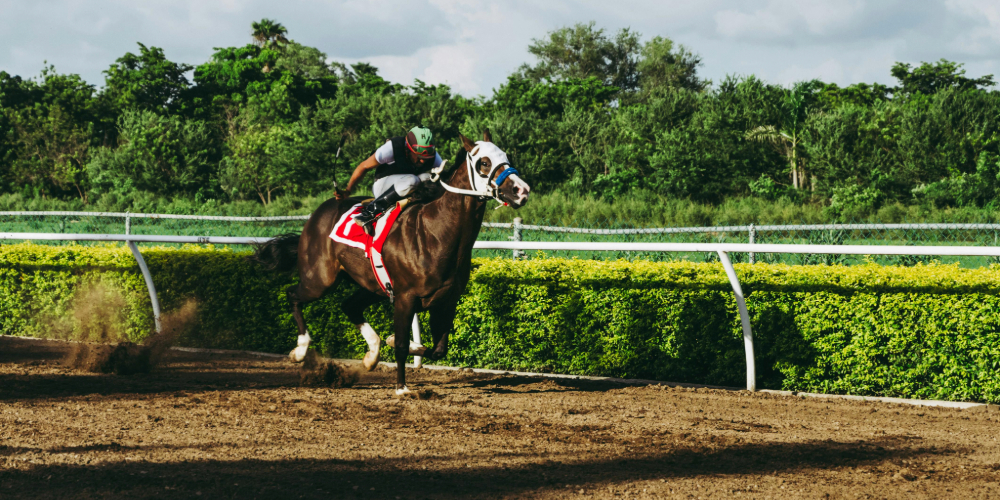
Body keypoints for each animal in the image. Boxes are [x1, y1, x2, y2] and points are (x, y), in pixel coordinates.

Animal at [252, 131, 530, 394]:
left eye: (506, 156)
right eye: (484, 162)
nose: (522, 190)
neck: (436, 233)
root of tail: (318, 213)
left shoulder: (446, 300)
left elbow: (438, 348)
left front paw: (389, 343)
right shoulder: (406, 298)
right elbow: (402, 345)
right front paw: (401, 387)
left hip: (372, 285)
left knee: (349, 305)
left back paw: (371, 355)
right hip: (320, 279)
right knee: (293, 295)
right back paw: (300, 350)